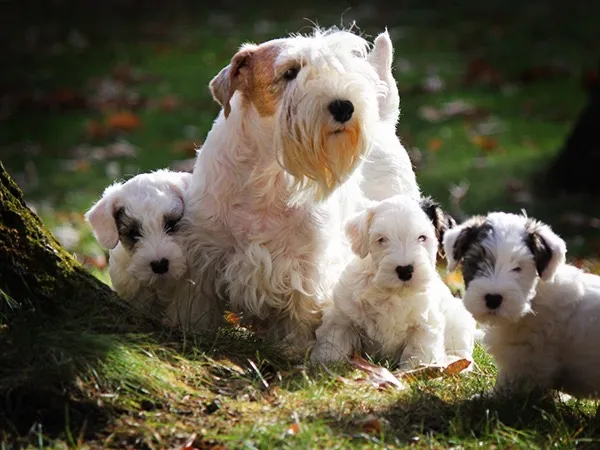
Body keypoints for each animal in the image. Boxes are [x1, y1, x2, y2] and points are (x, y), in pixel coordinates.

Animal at [185, 27, 420, 356]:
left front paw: (293, 350)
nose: (344, 106)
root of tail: (384, 123)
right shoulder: (206, 252)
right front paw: (193, 332)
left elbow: (301, 311)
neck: (267, 175)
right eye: (290, 72)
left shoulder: (307, 266)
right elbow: (197, 303)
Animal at [312, 195, 476, 368]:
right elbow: (335, 343)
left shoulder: (424, 328)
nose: (405, 270)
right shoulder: (342, 319)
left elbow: (417, 357)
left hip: (460, 323)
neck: (393, 292)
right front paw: (327, 366)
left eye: (422, 237)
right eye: (382, 239)